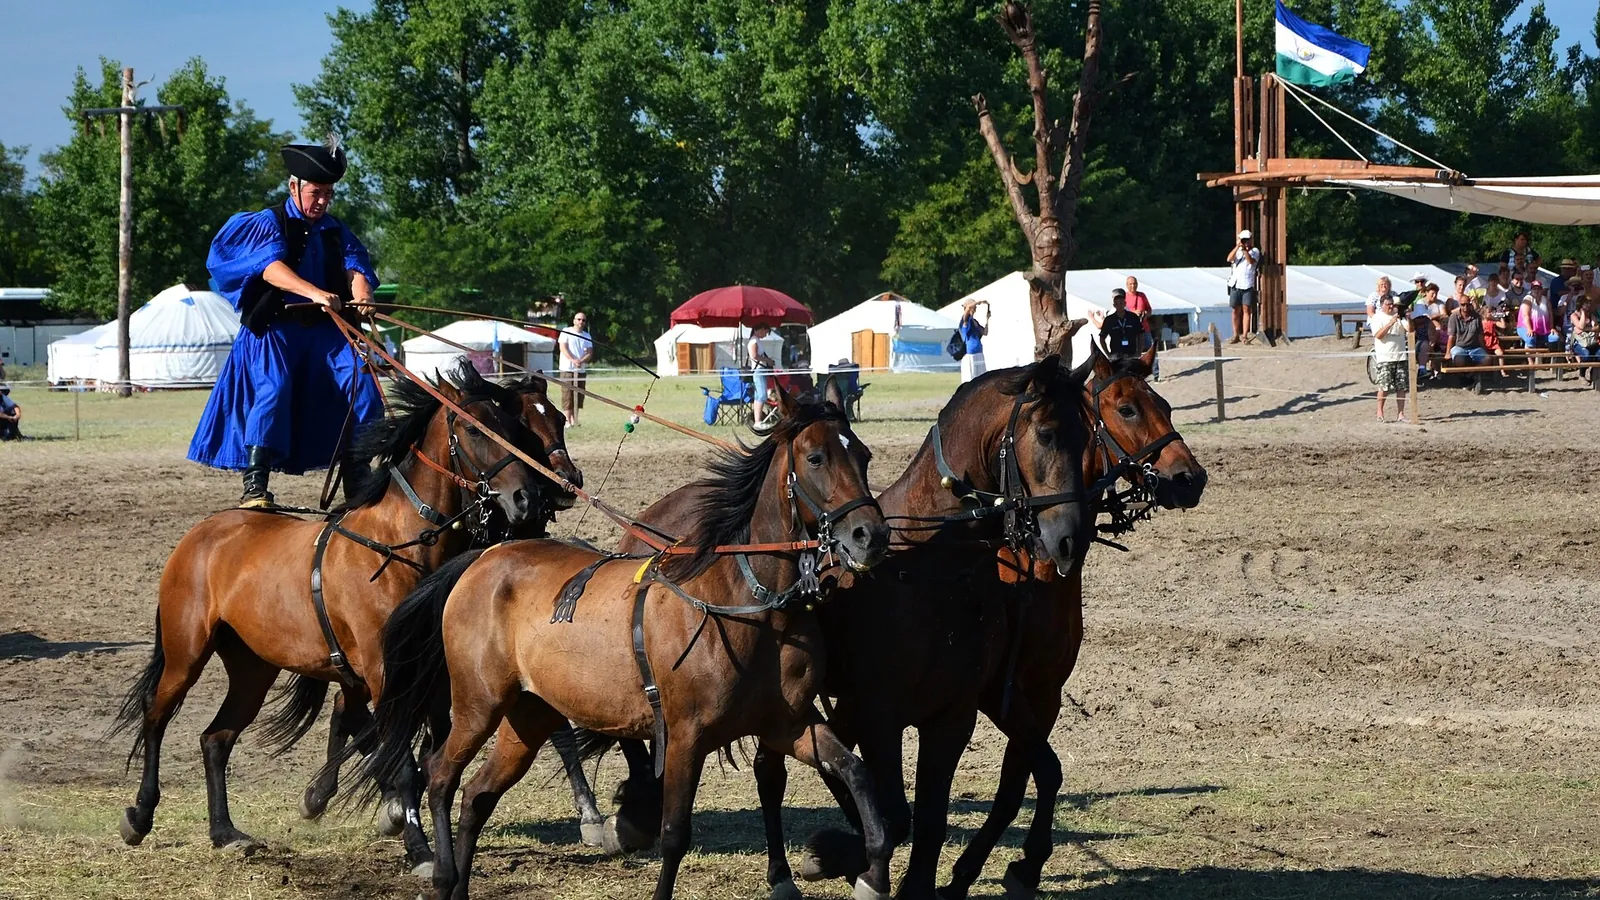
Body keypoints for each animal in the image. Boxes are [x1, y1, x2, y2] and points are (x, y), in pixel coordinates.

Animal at [111, 360, 580, 873]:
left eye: (515, 428)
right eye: (477, 429)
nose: (528, 498)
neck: (400, 547)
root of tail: (205, 531)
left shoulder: (430, 679)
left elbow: (426, 757)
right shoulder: (382, 672)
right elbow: (403, 763)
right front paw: (418, 850)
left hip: (253, 667)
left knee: (216, 737)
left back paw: (225, 832)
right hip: (186, 653)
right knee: (155, 714)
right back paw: (140, 814)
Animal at [352, 389, 896, 900]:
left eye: (864, 455)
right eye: (816, 458)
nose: (870, 535)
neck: (747, 600)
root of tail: (483, 559)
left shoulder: (788, 724)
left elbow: (856, 773)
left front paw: (873, 870)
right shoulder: (686, 736)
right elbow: (674, 833)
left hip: (529, 717)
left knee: (477, 796)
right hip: (477, 705)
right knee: (440, 775)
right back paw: (441, 873)